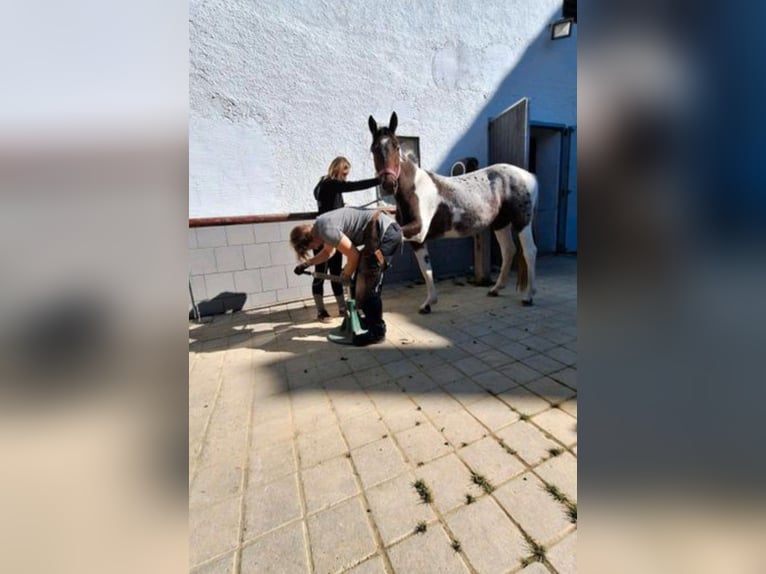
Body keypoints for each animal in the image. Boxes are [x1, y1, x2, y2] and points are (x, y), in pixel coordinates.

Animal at [368, 112, 539, 313]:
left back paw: (528, 297)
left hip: (522, 222)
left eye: (395, 146)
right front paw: (428, 304)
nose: (388, 185)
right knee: (508, 251)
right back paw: (496, 289)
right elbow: (426, 270)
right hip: (500, 223)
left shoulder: (418, 230)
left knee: (529, 252)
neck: (414, 189)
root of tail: (529, 176)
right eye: (373, 149)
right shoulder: (418, 241)